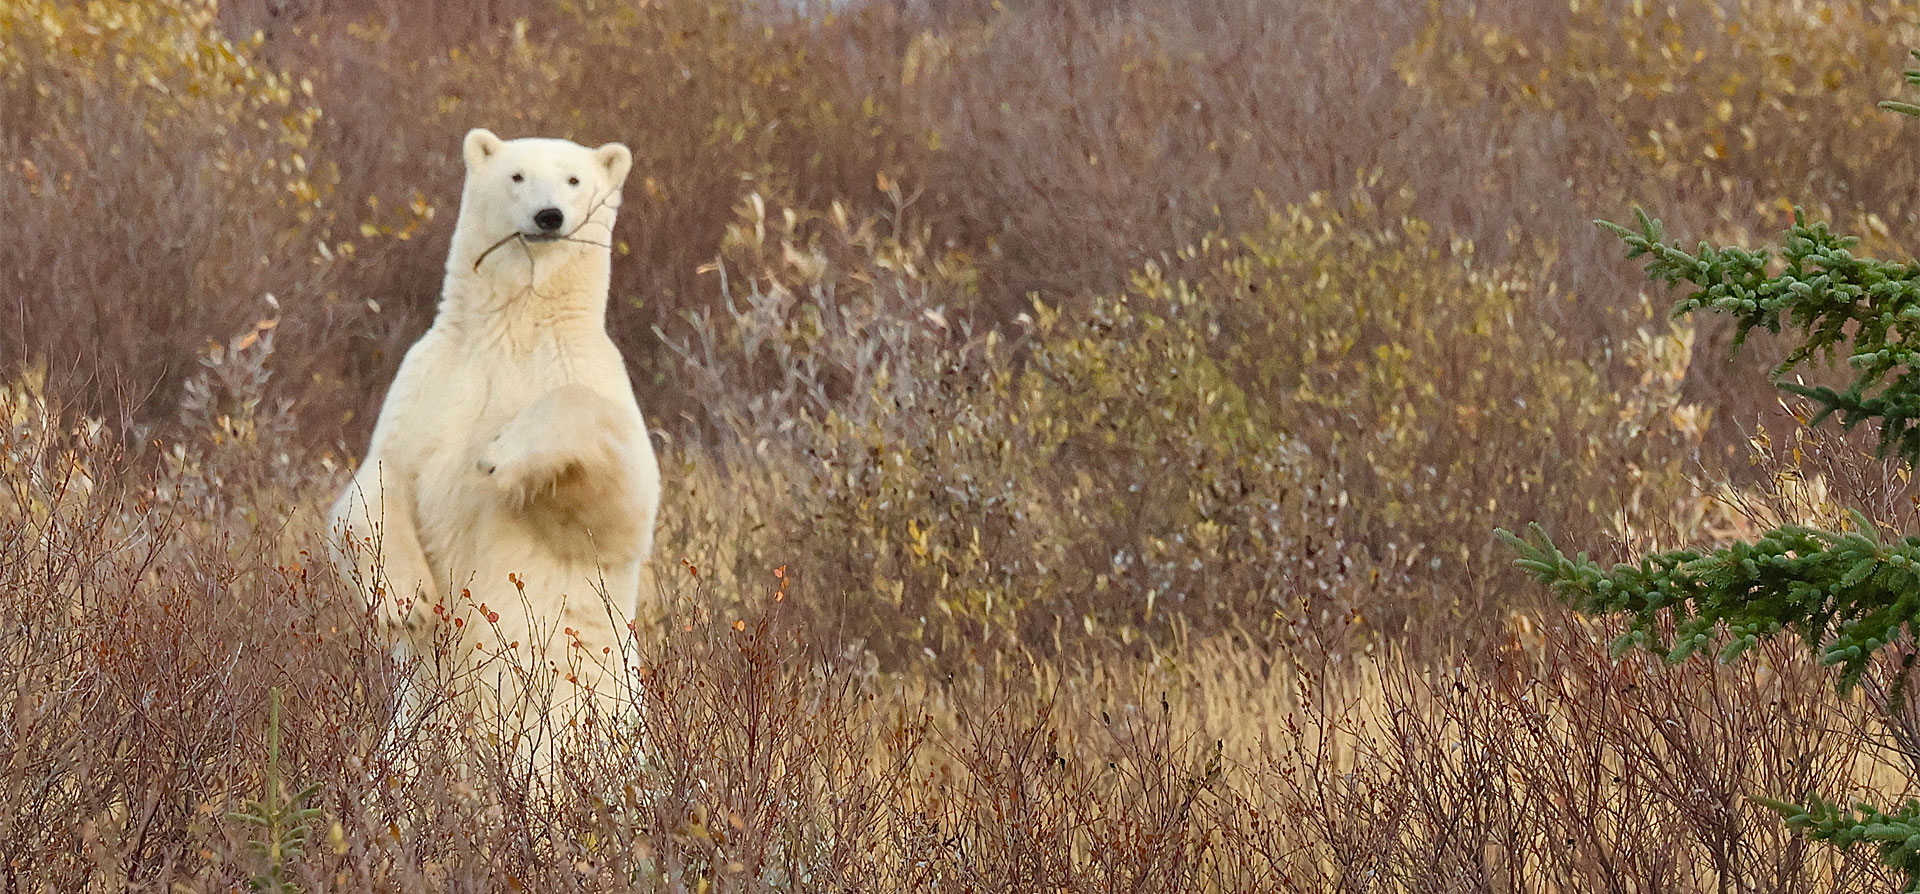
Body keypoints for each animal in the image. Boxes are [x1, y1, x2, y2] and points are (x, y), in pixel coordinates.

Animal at [330, 125, 660, 755]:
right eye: (517, 175)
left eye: (574, 178)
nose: (549, 215)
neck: (516, 328)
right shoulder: (432, 379)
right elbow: (377, 486)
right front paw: (409, 604)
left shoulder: (589, 372)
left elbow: (620, 504)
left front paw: (503, 458)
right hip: (419, 722)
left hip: (584, 715)